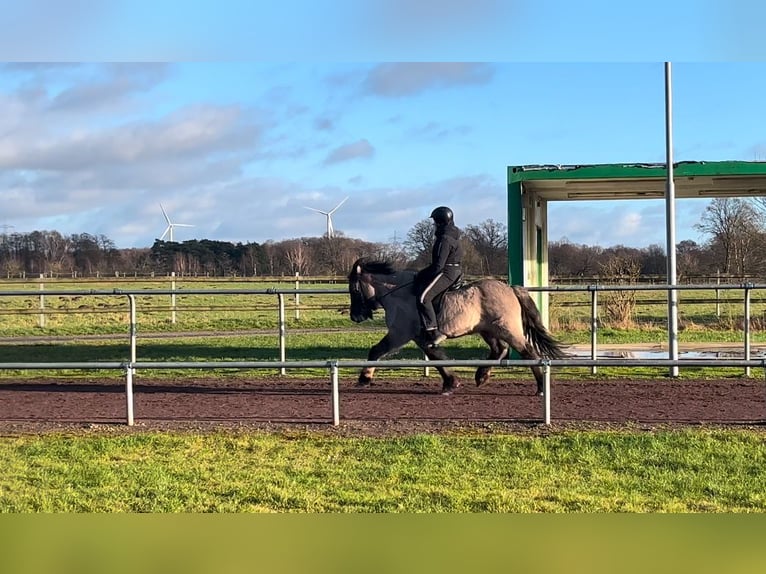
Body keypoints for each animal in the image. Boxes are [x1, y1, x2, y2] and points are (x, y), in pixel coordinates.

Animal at [350, 260, 568, 396]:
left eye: (354, 288)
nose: (355, 316)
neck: (399, 293)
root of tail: (510, 288)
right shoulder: (420, 337)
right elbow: (437, 358)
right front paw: (451, 383)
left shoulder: (400, 334)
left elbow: (376, 350)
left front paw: (364, 379)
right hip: (487, 330)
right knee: (500, 349)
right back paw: (481, 376)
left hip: (509, 330)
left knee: (528, 352)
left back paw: (541, 387)